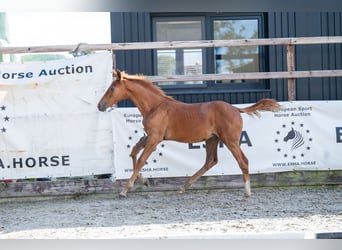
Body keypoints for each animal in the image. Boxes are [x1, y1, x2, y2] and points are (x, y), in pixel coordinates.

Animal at [97, 70, 280, 197]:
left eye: (112, 88)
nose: (100, 105)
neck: (155, 107)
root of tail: (236, 109)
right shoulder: (150, 136)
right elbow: (134, 152)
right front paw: (145, 181)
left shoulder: (155, 138)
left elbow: (141, 159)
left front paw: (125, 190)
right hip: (212, 139)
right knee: (210, 161)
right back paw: (183, 186)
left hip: (230, 140)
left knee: (243, 161)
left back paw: (247, 192)